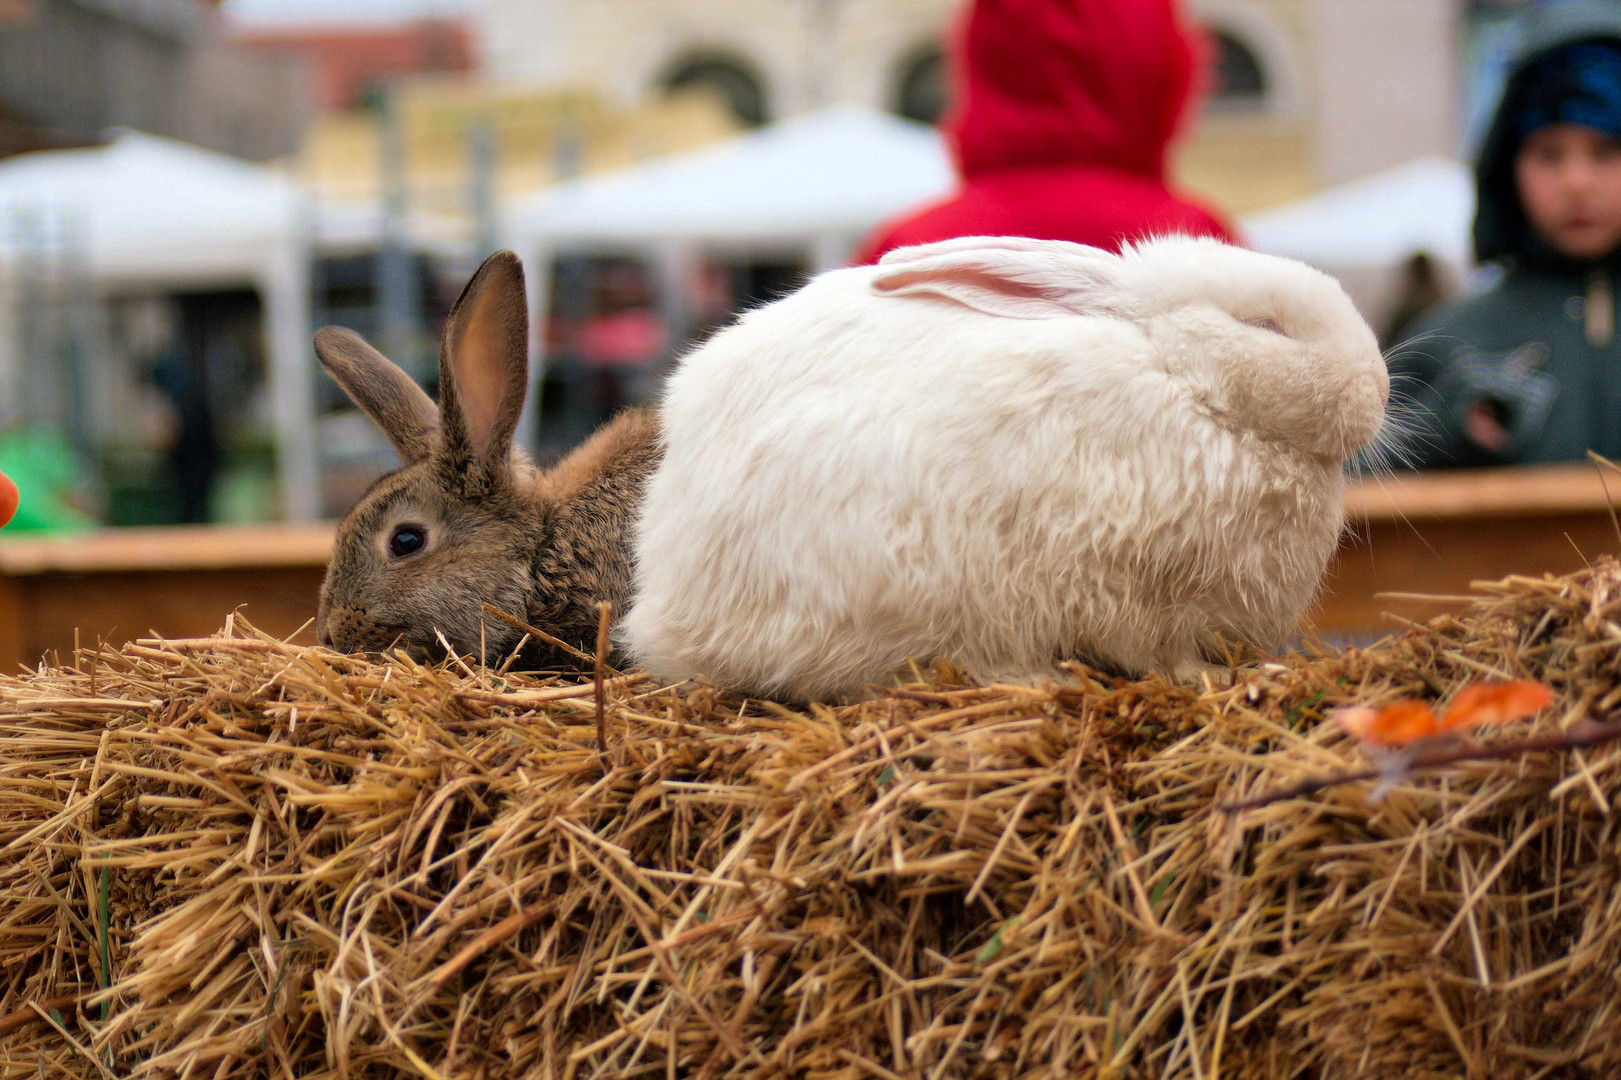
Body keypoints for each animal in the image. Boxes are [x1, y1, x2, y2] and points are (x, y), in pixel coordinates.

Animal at [615, 233, 1381, 697]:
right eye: (1264, 328)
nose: (1377, 390)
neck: (1185, 381)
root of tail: (661, 603)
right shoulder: (1126, 588)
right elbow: (1159, 653)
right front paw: (1207, 678)